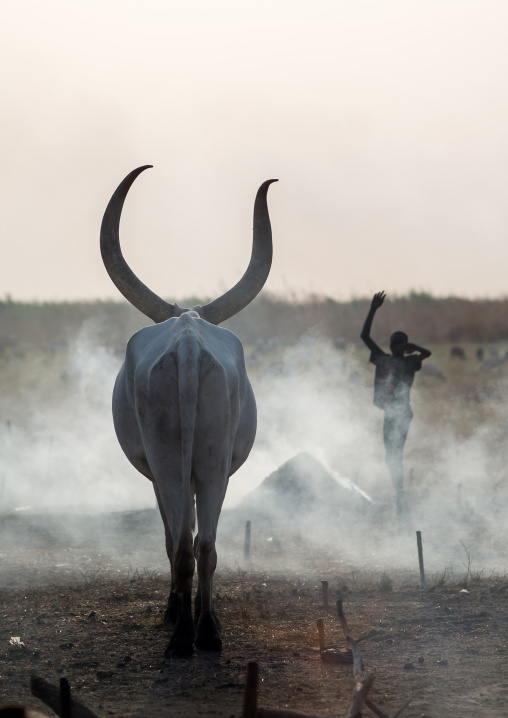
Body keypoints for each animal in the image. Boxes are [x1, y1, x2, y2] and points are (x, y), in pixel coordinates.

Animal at [100, 166, 277, 656]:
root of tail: (188, 344)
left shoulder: (160, 474)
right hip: (210, 464)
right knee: (201, 545)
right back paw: (203, 630)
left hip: (171, 463)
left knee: (182, 544)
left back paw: (184, 632)